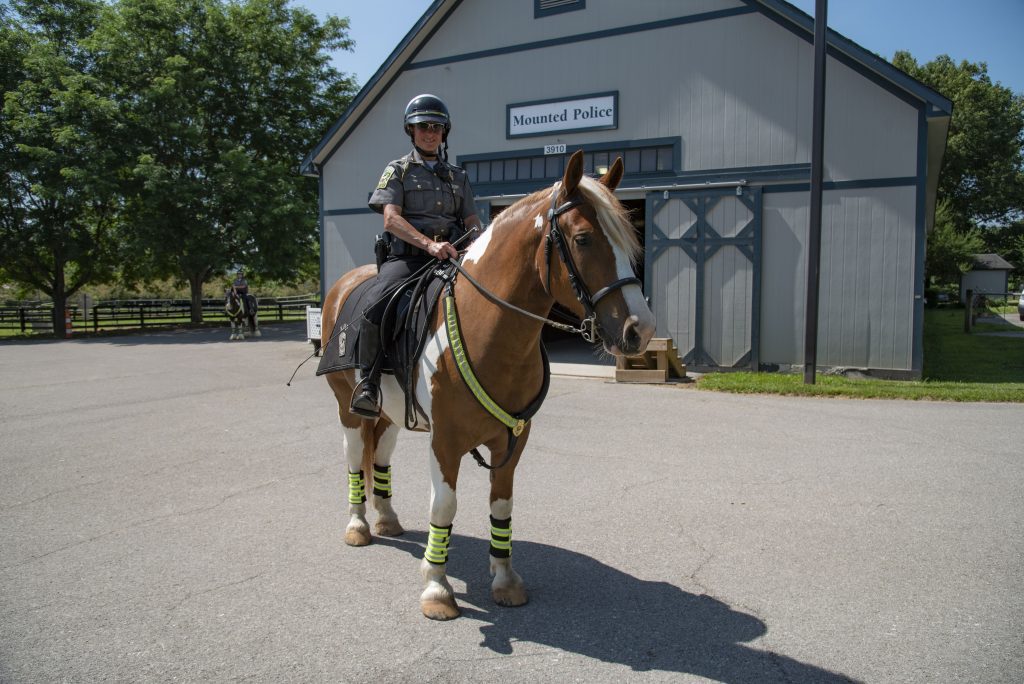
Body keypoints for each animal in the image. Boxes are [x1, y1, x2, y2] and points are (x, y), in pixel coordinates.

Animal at [319, 149, 655, 618]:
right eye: (584, 239)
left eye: (631, 239)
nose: (640, 329)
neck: (488, 330)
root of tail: (344, 285)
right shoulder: (444, 441)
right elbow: (444, 506)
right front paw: (437, 587)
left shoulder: (511, 439)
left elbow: (502, 503)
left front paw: (504, 579)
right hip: (347, 407)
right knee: (354, 456)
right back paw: (358, 525)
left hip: (388, 412)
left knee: (380, 454)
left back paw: (386, 518)